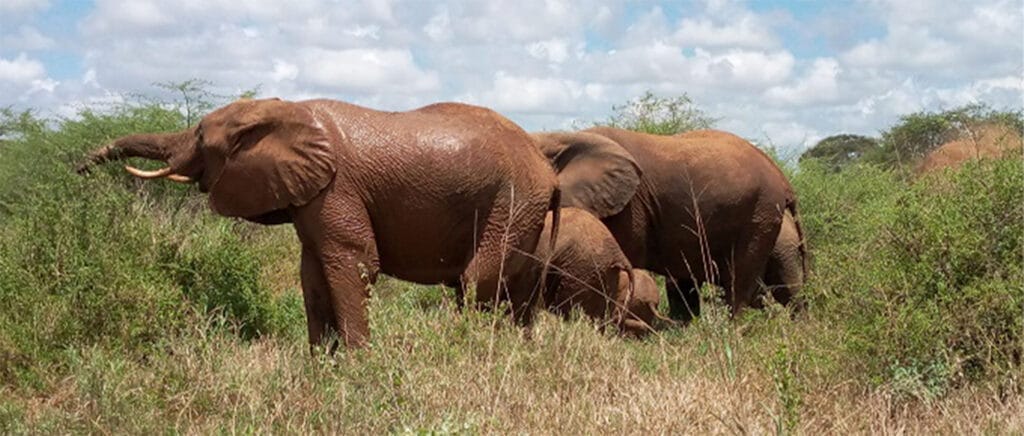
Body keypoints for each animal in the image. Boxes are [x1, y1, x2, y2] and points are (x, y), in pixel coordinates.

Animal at [77, 97, 561, 350]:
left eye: (198, 135)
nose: (80, 169)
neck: (284, 110)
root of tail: (548, 170)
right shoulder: (310, 196)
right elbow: (311, 273)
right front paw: (322, 365)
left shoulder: (336, 187)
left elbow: (355, 262)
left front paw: (358, 366)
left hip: (513, 200)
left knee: (477, 279)